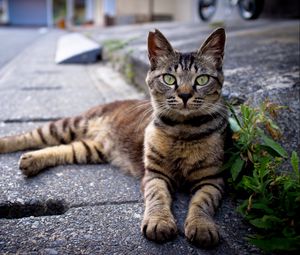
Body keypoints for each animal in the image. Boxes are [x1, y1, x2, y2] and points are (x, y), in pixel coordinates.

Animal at [0, 27, 227, 247]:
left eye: (202, 80)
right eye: (169, 79)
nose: (185, 95)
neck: (183, 130)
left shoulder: (211, 181)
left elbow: (202, 203)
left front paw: (201, 226)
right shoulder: (154, 175)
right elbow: (158, 198)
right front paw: (159, 221)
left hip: (90, 150)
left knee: (62, 149)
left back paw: (32, 161)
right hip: (68, 126)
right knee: (32, 135)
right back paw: (8, 146)